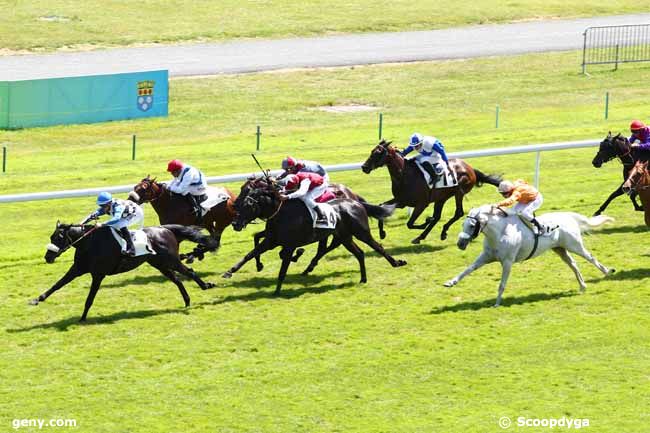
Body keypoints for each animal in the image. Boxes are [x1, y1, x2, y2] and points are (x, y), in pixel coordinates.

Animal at [33, 223, 216, 320]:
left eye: (58, 238)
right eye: (51, 237)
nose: (48, 257)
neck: (89, 242)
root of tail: (166, 229)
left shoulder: (98, 274)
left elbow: (89, 298)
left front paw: (83, 317)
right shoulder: (78, 268)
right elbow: (57, 285)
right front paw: (37, 299)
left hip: (171, 260)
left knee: (189, 272)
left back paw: (206, 286)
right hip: (159, 264)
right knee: (177, 280)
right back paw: (187, 300)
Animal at [223, 179, 404, 294]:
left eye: (248, 203)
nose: (235, 223)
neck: (281, 212)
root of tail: (356, 202)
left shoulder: (288, 245)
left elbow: (283, 267)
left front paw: (277, 290)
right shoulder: (271, 240)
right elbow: (249, 254)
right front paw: (229, 272)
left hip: (361, 232)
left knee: (377, 247)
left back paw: (396, 262)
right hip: (344, 237)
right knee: (358, 253)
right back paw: (362, 279)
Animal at [360, 141, 502, 245]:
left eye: (378, 153)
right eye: (372, 151)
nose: (364, 167)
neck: (404, 175)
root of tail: (470, 168)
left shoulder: (421, 204)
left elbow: (410, 224)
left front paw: (425, 222)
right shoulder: (401, 201)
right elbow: (381, 207)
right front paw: (382, 233)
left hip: (458, 193)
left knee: (458, 213)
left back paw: (439, 231)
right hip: (441, 198)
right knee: (438, 216)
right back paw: (423, 236)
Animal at [440, 204, 612, 306]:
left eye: (471, 225)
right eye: (462, 224)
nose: (460, 244)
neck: (499, 233)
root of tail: (568, 217)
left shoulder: (507, 262)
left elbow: (502, 284)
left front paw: (497, 303)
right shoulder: (486, 257)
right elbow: (468, 270)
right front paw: (450, 282)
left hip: (574, 245)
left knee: (590, 257)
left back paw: (608, 272)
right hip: (560, 249)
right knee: (573, 264)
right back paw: (582, 286)